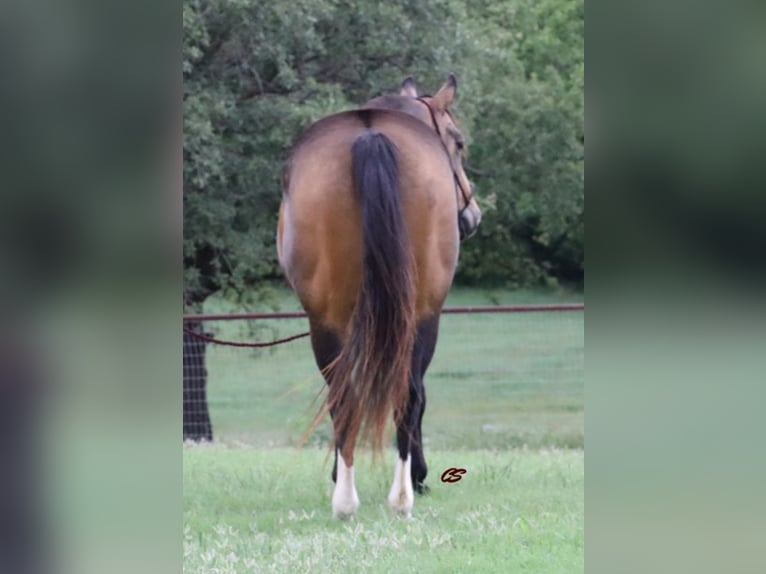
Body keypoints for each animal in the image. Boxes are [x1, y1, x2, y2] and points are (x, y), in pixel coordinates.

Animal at [276, 74, 480, 520]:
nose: (472, 215)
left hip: (331, 319)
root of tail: (370, 136)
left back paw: (361, 497)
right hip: (418, 313)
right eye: (458, 142)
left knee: (354, 395)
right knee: (402, 394)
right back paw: (390, 495)